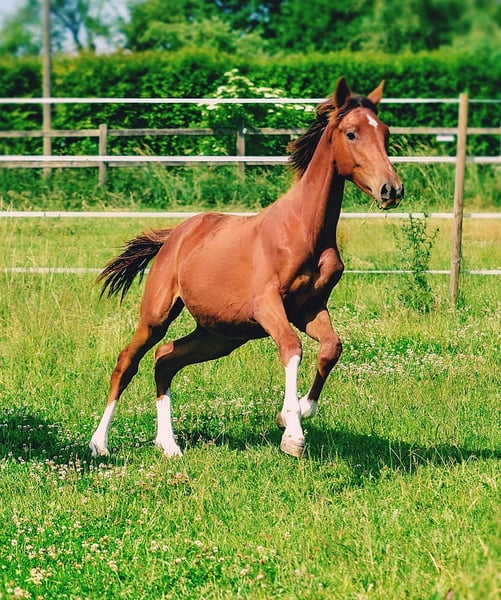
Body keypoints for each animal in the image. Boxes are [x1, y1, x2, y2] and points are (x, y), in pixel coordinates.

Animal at [90, 77, 403, 459]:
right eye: (351, 133)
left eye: (385, 133)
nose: (391, 189)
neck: (304, 229)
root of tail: (175, 236)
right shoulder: (267, 305)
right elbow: (292, 348)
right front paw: (293, 434)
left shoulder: (311, 308)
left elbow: (332, 348)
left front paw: (297, 412)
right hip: (157, 315)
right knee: (127, 363)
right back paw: (100, 444)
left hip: (220, 336)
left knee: (166, 360)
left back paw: (169, 445)